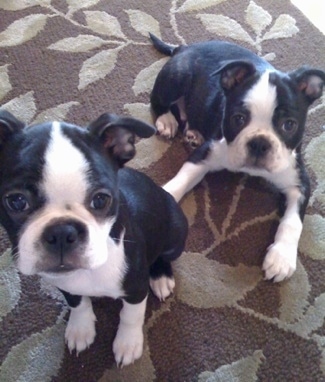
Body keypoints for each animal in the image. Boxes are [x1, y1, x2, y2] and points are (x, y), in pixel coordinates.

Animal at [0, 109, 187, 368]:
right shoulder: (65, 283)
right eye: (16, 201)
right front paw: (81, 329)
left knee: (164, 255)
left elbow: (131, 315)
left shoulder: (136, 288)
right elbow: (77, 303)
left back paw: (160, 277)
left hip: (175, 235)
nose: (62, 232)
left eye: (100, 200)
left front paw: (128, 343)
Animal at [150, 32, 324, 282]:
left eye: (289, 125)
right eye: (238, 118)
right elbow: (180, 182)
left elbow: (293, 221)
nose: (259, 143)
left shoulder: (298, 180)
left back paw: (193, 132)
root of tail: (184, 47)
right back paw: (167, 120)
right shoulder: (204, 155)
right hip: (177, 76)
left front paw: (281, 257)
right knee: (160, 100)